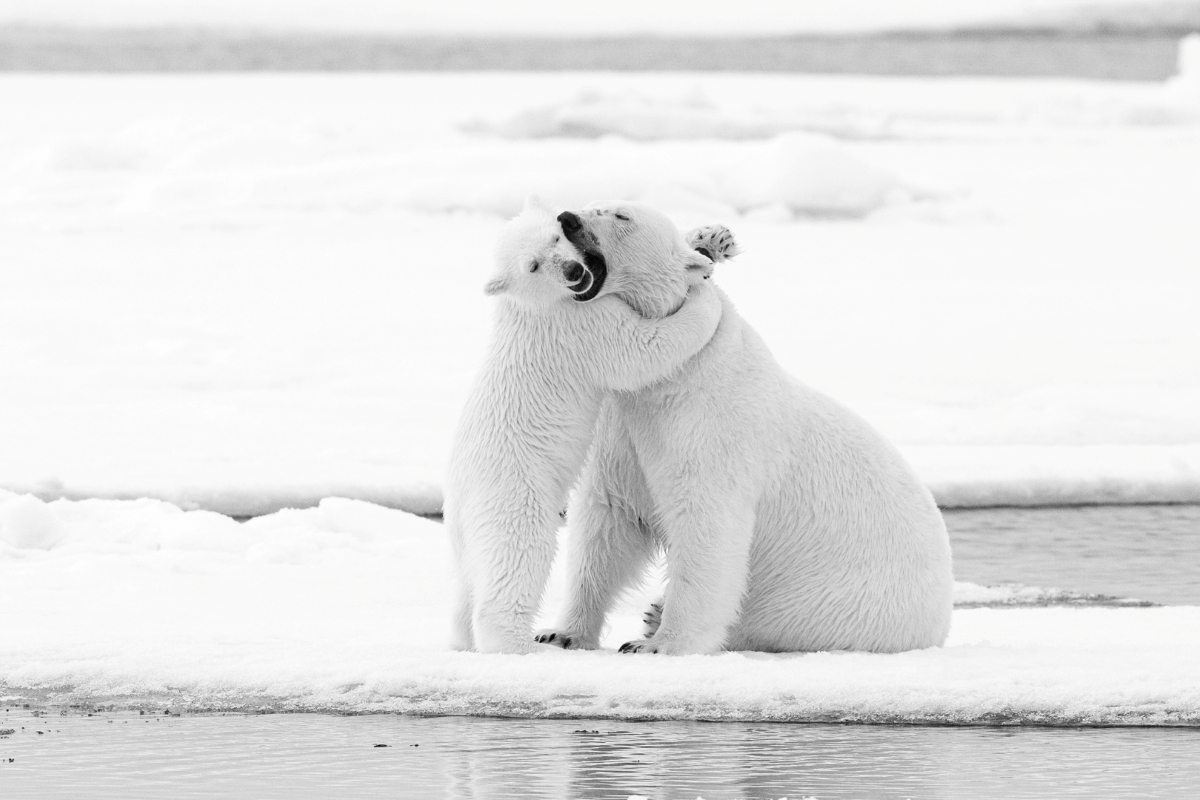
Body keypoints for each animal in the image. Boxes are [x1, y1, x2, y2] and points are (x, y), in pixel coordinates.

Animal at [443, 198, 723, 655]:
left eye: (557, 238)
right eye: (534, 265)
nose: (574, 272)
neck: (531, 304)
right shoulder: (581, 324)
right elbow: (644, 349)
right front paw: (705, 294)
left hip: (467, 530)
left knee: (467, 584)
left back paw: (462, 639)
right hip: (513, 496)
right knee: (518, 559)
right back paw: (522, 644)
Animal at [535, 214, 954, 655]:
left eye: (621, 216)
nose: (569, 219)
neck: (673, 377)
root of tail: (939, 622)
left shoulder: (711, 425)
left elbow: (707, 526)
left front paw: (658, 644)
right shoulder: (622, 427)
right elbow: (610, 521)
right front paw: (562, 633)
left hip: (834, 605)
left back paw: (657, 620)